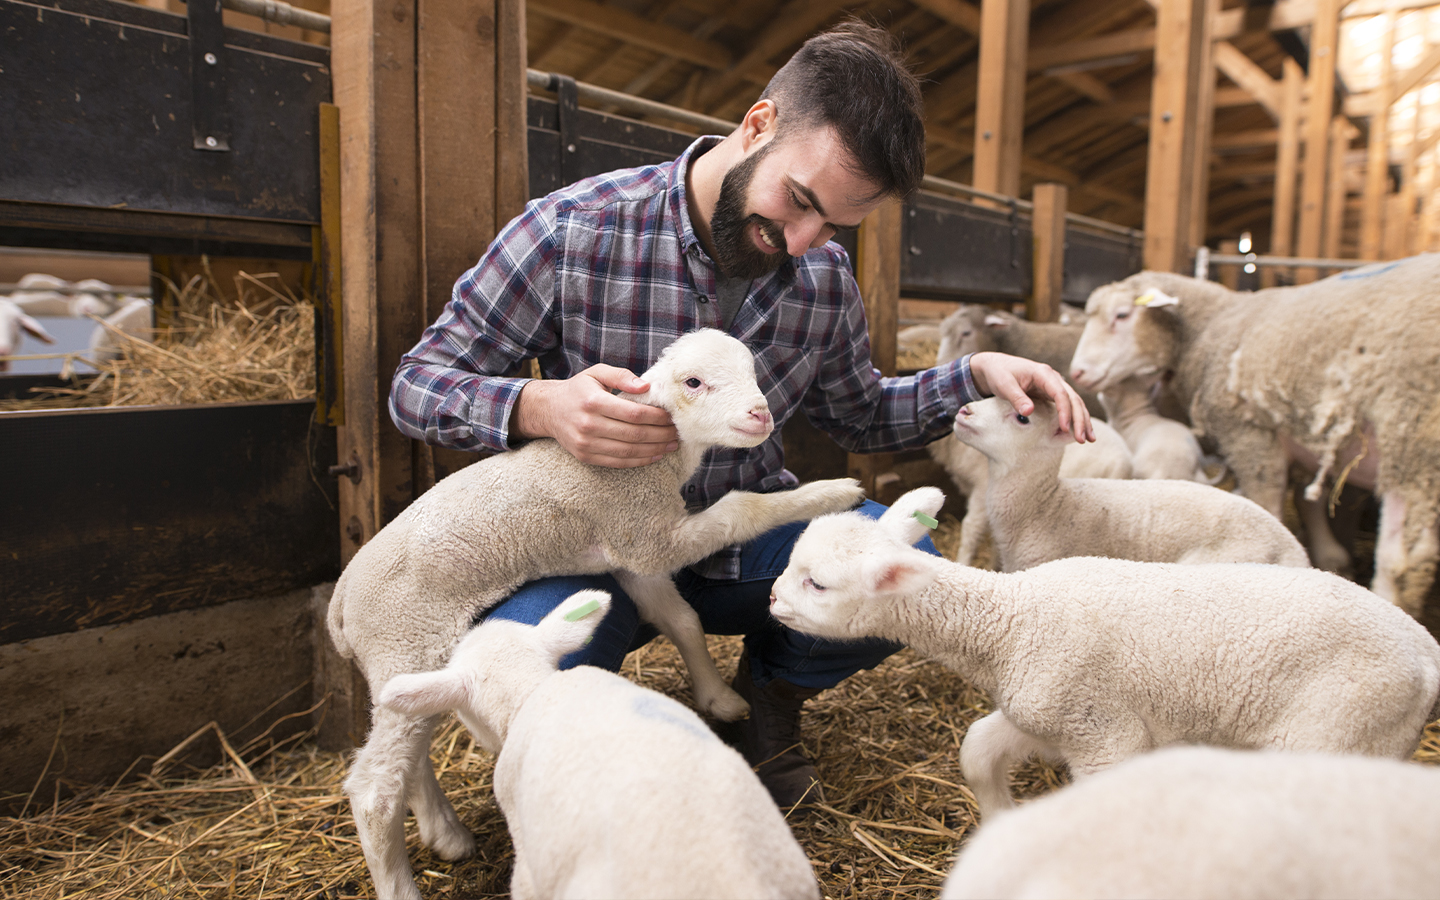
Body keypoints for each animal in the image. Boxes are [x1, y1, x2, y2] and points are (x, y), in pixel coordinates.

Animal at [766, 486, 1440, 817]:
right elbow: (977, 749)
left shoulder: (1106, 734)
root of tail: (1426, 651)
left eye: (817, 583)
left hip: (1338, 731)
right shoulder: (1049, 713)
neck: (1011, 622)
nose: (769, 598)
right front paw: (1002, 821)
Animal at [1071, 253, 1440, 616]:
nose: (1077, 372)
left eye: (1122, 315)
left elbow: (1269, 505)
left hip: (1408, 437)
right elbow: (1309, 501)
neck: (1212, 321)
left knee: (1398, 562)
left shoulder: (1250, 435)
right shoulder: (1302, 435)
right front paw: (1331, 556)